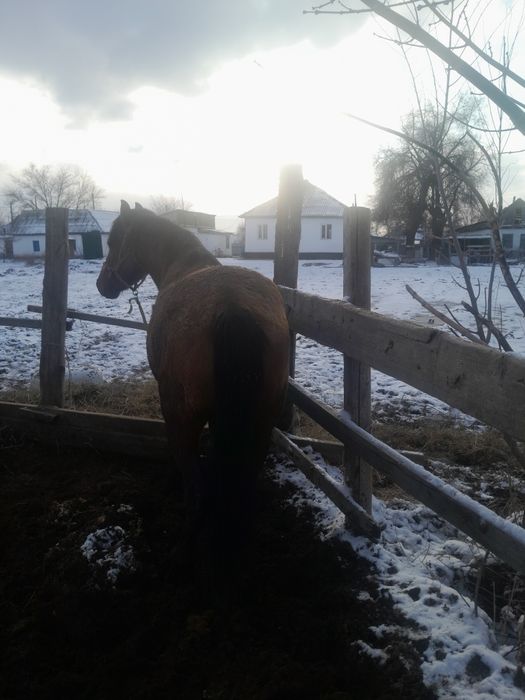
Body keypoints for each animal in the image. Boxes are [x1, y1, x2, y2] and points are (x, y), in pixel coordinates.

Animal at [96, 201, 289, 567]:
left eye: (113, 242)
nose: (103, 285)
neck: (182, 265)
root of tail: (231, 307)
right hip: (263, 420)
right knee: (245, 480)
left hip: (180, 418)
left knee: (197, 488)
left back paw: (183, 549)